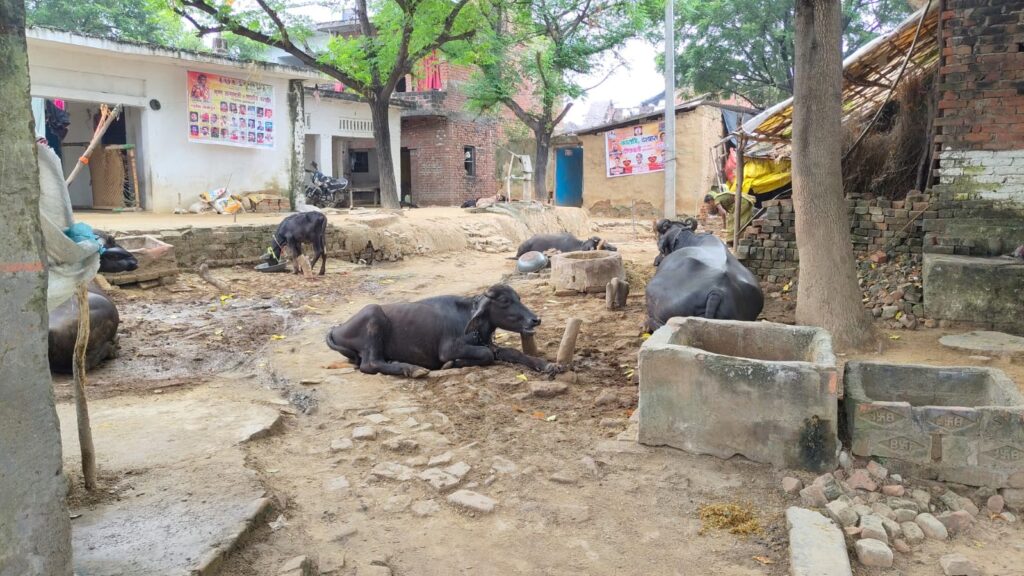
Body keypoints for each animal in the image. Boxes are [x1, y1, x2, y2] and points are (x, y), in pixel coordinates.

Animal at [326, 284, 559, 378]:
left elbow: (513, 352)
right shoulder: (449, 349)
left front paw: (547, 365)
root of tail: (338, 329)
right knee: (370, 364)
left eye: (518, 298)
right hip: (373, 316)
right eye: (504, 301)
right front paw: (452, 364)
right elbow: (485, 355)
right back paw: (412, 369)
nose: (535, 319)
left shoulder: (488, 343)